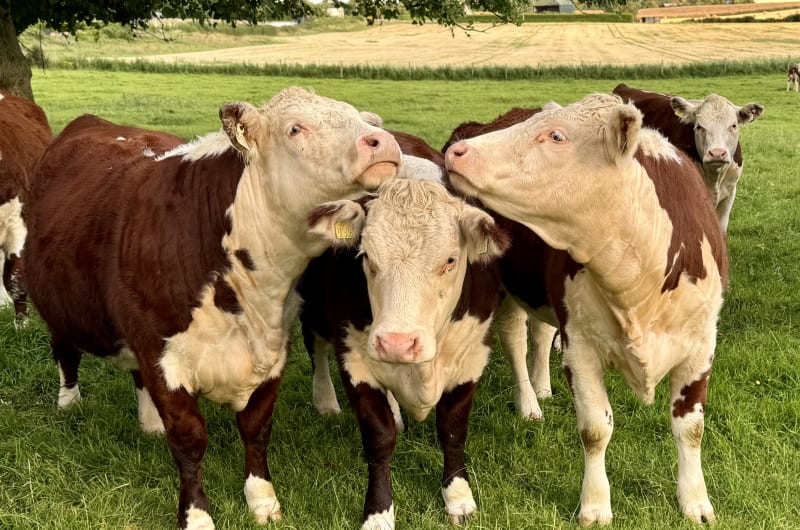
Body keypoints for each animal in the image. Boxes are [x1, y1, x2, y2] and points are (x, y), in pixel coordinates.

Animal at [23, 87, 402, 530]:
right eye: (295, 128)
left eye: (361, 118)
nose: (383, 141)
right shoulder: (162, 356)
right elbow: (189, 441)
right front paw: (197, 515)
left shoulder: (273, 350)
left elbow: (256, 429)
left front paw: (262, 500)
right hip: (58, 305)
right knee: (65, 351)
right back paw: (69, 404)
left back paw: (149, 423)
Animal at [299, 177, 510, 529]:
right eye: (366, 256)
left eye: (450, 260)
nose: (396, 342)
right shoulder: (355, 363)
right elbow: (379, 439)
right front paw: (378, 513)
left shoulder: (473, 358)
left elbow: (452, 429)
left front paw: (458, 496)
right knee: (315, 347)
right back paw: (326, 400)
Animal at [445, 93, 728, 526]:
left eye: (556, 136)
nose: (458, 151)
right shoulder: (580, 348)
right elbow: (595, 430)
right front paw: (595, 506)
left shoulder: (700, 348)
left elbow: (690, 429)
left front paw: (695, 502)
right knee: (515, 339)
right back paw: (529, 403)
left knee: (540, 333)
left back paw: (542, 387)